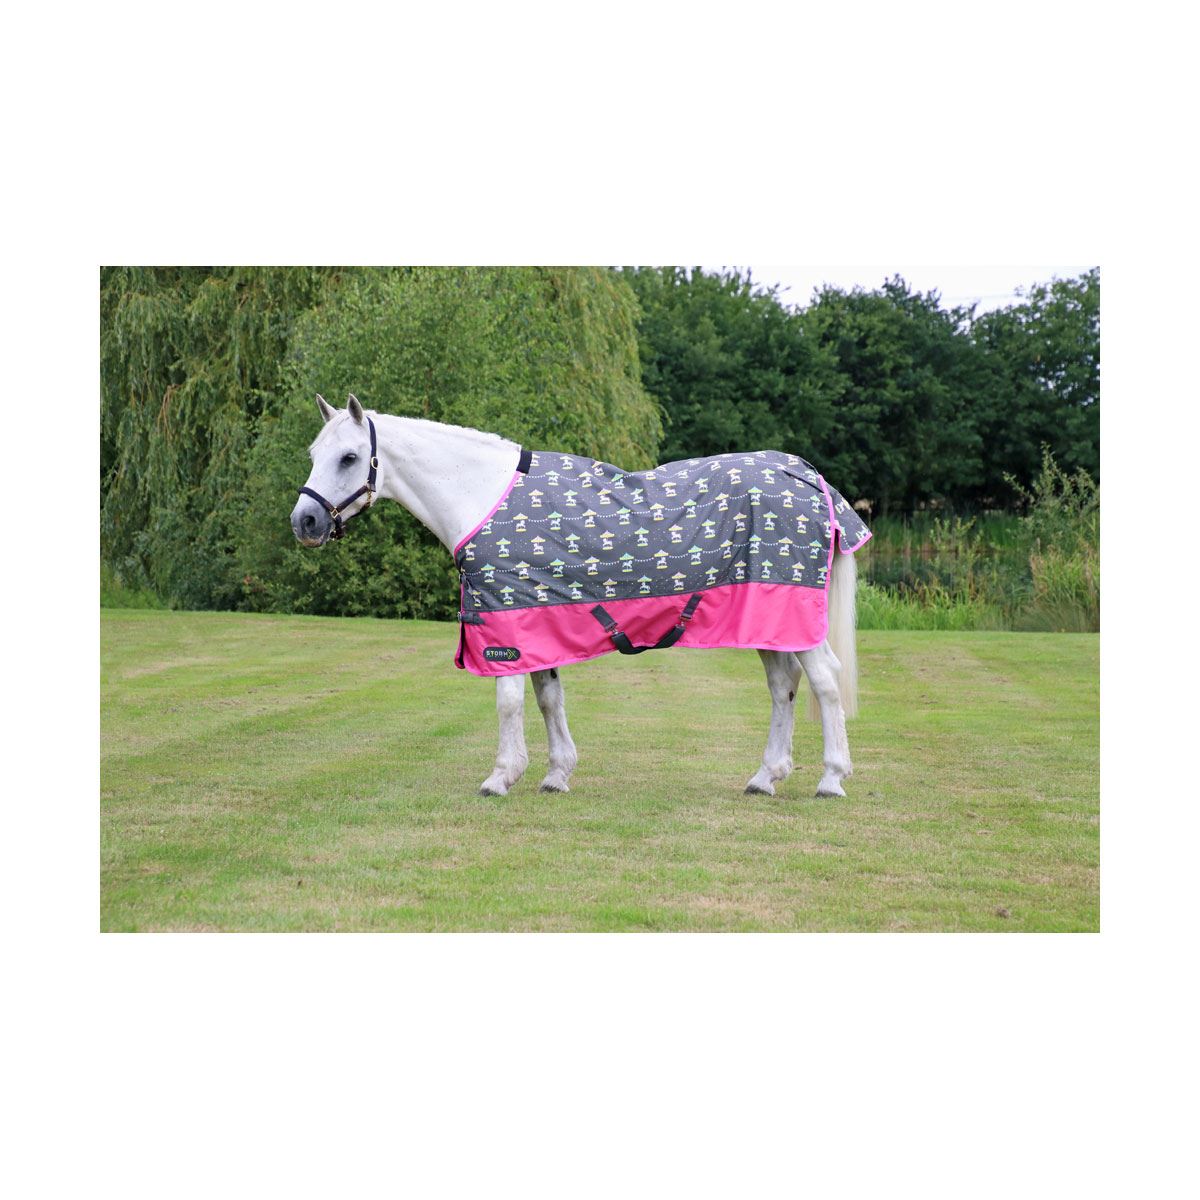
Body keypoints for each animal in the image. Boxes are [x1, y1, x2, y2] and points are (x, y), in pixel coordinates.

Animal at [290, 394, 870, 798]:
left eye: (349, 457)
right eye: (315, 453)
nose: (305, 522)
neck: (482, 494)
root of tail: (806, 475)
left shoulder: (505, 623)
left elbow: (508, 701)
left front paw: (501, 777)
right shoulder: (535, 618)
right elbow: (549, 698)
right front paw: (555, 774)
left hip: (793, 611)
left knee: (824, 681)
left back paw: (832, 779)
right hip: (768, 617)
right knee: (783, 686)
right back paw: (765, 777)